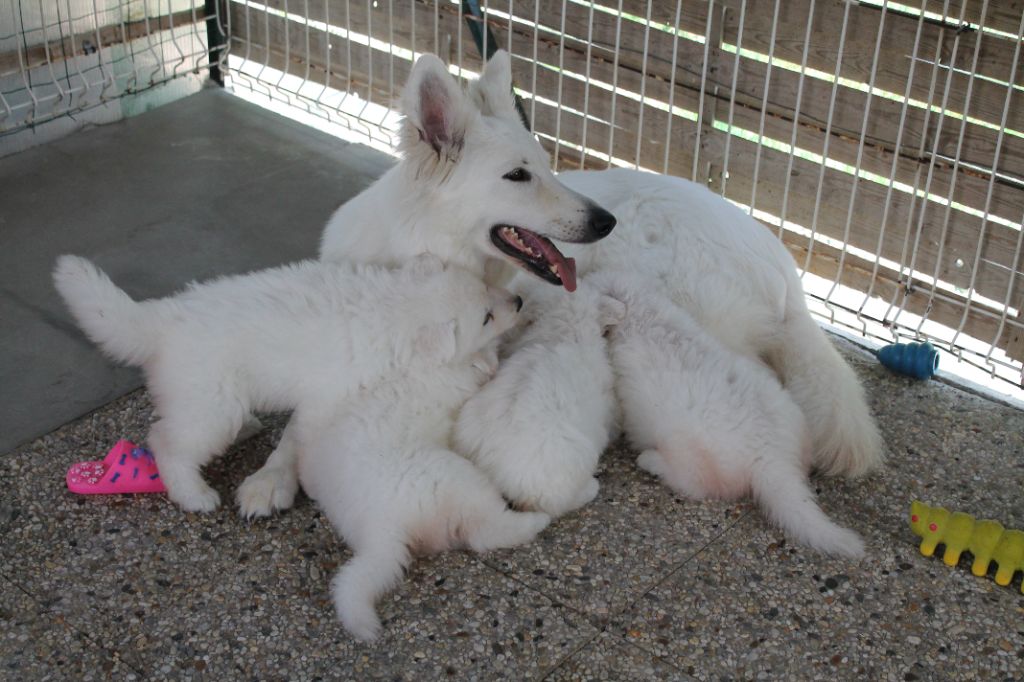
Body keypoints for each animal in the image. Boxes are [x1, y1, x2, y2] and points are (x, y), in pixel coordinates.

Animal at [51, 254, 512, 509]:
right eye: (486, 318)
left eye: (489, 290)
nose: (520, 300)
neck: (391, 305)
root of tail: (159, 321)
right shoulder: (328, 394)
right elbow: (299, 436)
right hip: (211, 403)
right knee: (167, 441)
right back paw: (194, 495)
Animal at [296, 290, 552, 638]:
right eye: (486, 317)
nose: (519, 301)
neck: (427, 363)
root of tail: (382, 529)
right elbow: (485, 365)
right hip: (462, 481)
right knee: (487, 532)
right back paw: (536, 520)